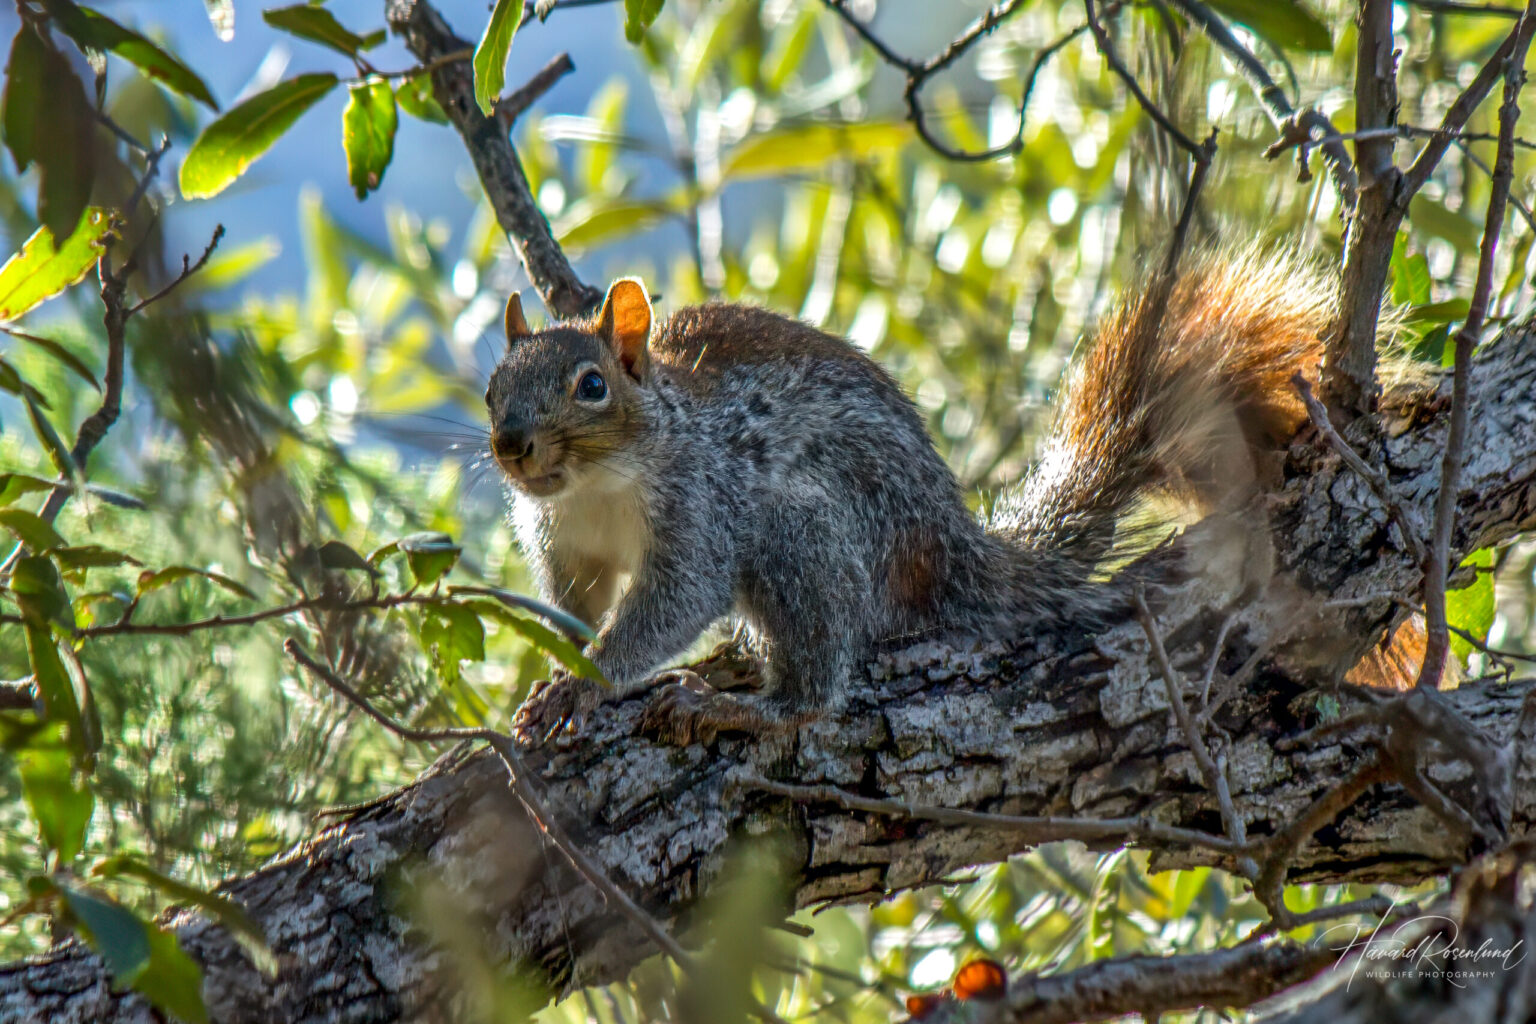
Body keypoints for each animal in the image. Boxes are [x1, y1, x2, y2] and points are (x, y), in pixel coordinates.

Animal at [487, 249, 1379, 747]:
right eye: (493, 387)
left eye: (592, 386)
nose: (511, 445)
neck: (596, 485)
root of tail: (950, 548)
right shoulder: (564, 542)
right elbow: (575, 607)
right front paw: (554, 675)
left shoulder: (704, 501)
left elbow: (675, 599)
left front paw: (585, 683)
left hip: (806, 532)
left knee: (821, 683)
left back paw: (749, 707)